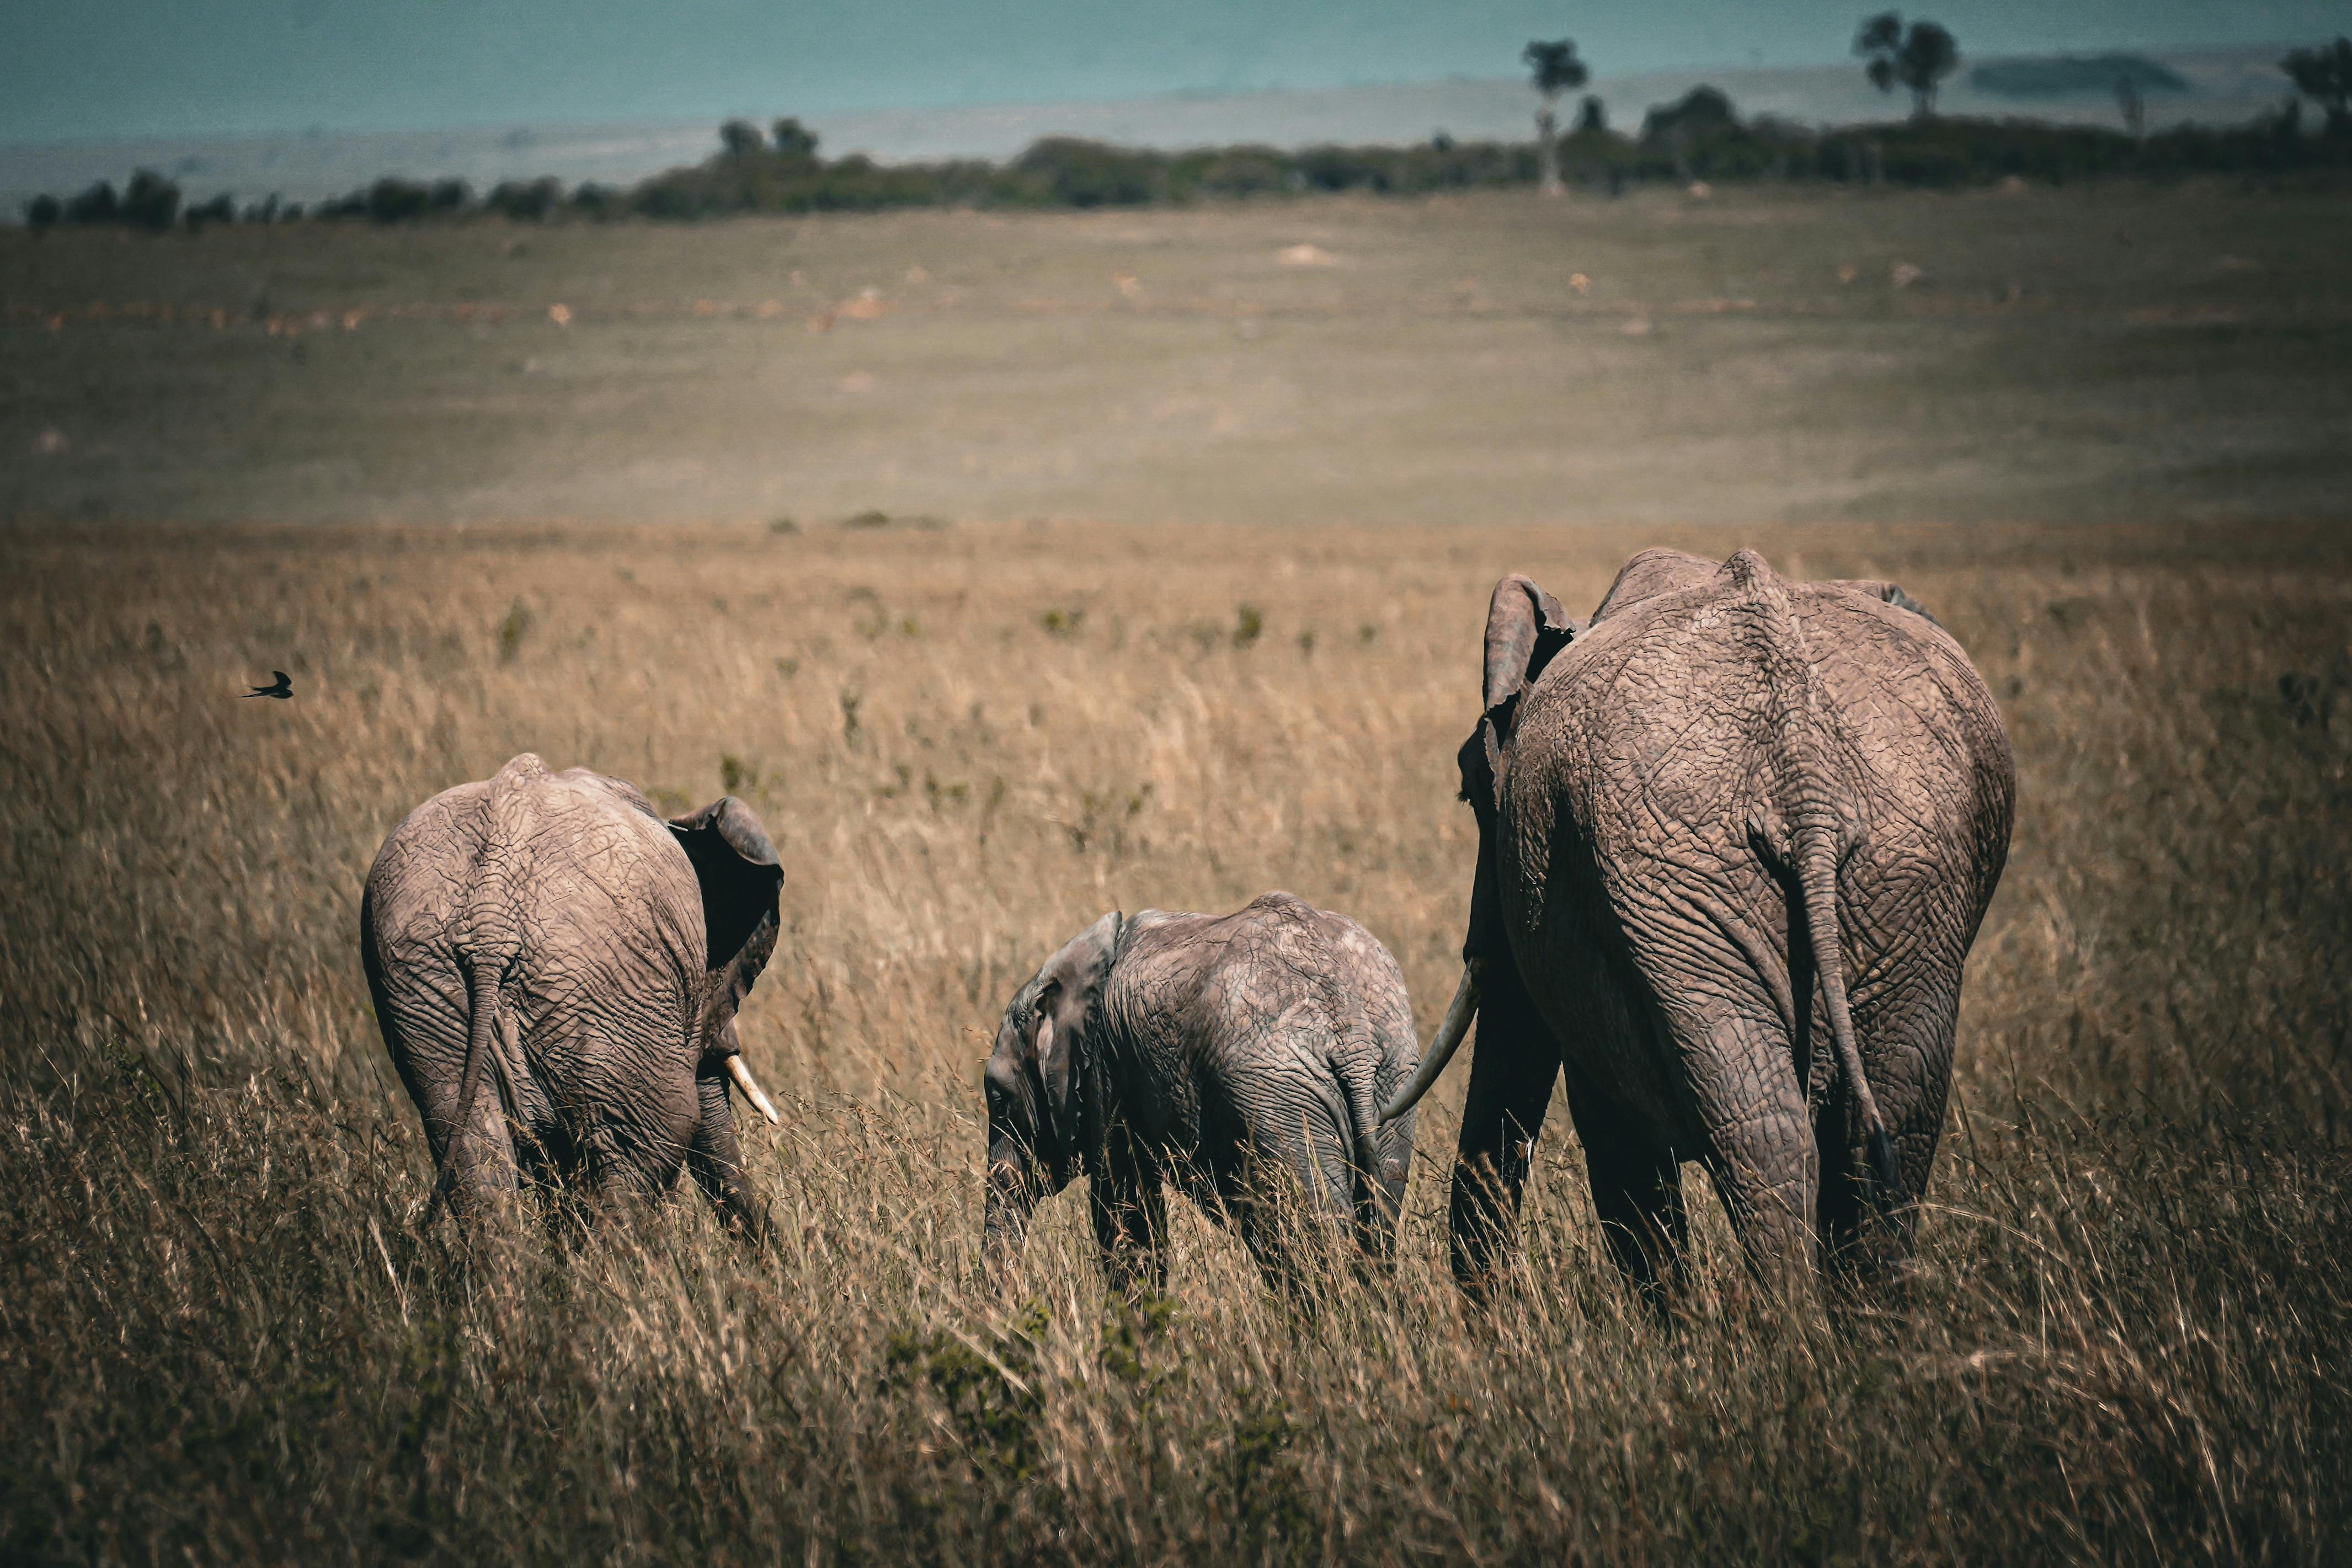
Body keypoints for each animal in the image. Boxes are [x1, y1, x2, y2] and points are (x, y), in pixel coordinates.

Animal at [988, 888, 1420, 1298]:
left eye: (998, 1099)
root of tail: (1351, 1031)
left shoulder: (1106, 1073)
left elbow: (1126, 1213)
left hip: (1278, 1104)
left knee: (1306, 1243)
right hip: (1390, 1085)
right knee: (1372, 1227)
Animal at [1383, 550, 2013, 1298]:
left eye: (1474, 791)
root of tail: (1802, 767)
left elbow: (1613, 1137)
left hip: (1727, 878)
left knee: (1777, 1136)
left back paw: (1790, 1328)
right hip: (1880, 878)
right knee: (1879, 1130)